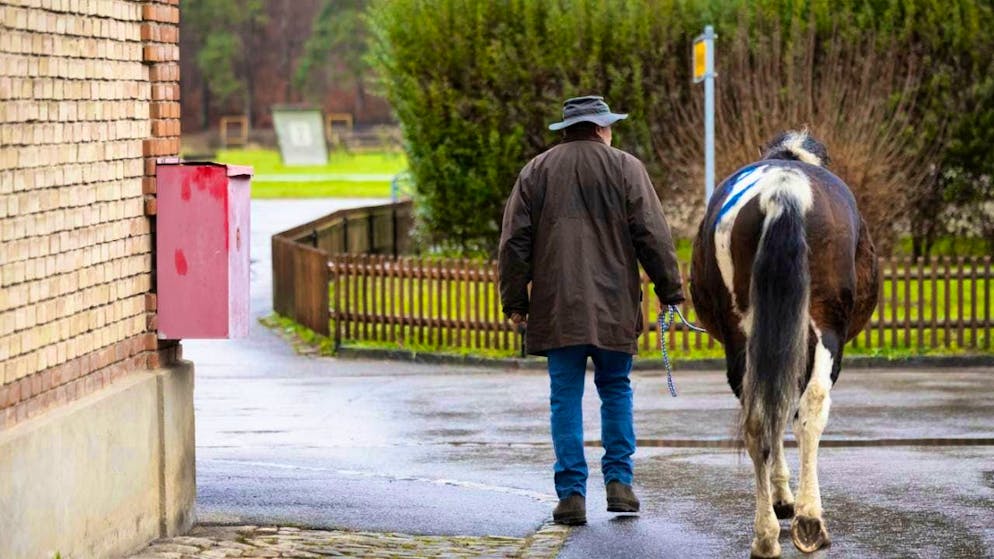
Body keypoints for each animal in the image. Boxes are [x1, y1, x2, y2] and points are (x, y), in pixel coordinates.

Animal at [690, 131, 879, 558]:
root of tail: (784, 188)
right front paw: (787, 500)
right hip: (825, 327)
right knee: (811, 407)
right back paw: (808, 520)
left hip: (744, 337)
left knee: (758, 418)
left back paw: (766, 534)